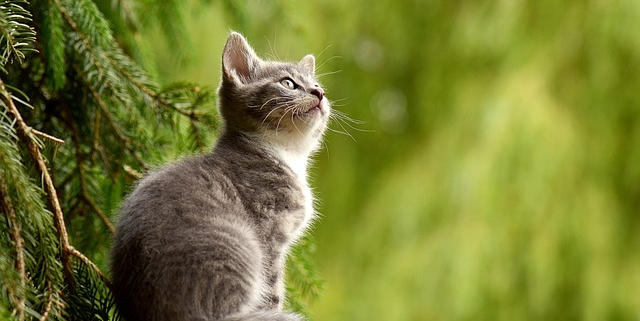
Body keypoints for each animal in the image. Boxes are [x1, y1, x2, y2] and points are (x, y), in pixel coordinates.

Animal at [110, 30, 330, 320]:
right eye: (288, 83)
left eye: (316, 84)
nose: (320, 92)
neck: (286, 154)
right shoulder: (269, 235)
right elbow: (272, 290)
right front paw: (275, 308)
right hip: (239, 246)